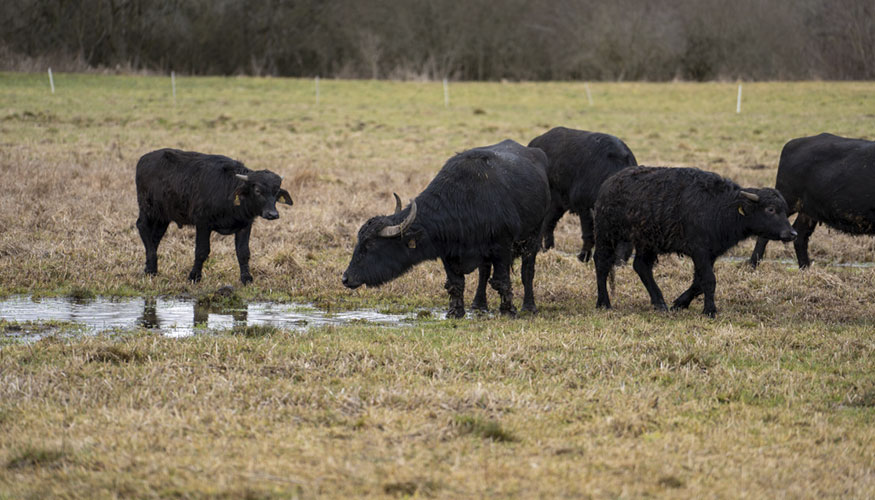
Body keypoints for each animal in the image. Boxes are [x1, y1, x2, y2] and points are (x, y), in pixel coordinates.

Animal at [133, 148, 290, 284]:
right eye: (257, 190)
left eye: (276, 192)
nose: (272, 214)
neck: (228, 189)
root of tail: (144, 159)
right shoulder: (203, 223)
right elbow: (202, 251)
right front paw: (194, 276)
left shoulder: (245, 225)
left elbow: (243, 252)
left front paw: (246, 278)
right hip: (147, 209)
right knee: (142, 227)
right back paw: (151, 267)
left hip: (163, 217)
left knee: (155, 237)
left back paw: (150, 268)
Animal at [528, 126, 636, 262]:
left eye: (630, 236)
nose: (619, 261)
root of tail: (534, 143)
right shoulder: (584, 207)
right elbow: (588, 235)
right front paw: (583, 257)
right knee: (544, 224)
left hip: (558, 205)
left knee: (549, 224)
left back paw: (547, 249)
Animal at [592, 167, 796, 316]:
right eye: (770, 209)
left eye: (784, 210)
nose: (792, 233)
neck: (719, 207)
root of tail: (608, 184)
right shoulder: (699, 251)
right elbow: (709, 280)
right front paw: (710, 310)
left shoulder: (710, 254)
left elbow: (698, 282)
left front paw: (679, 303)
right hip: (607, 234)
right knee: (602, 263)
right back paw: (604, 302)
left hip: (647, 242)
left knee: (641, 266)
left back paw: (660, 303)